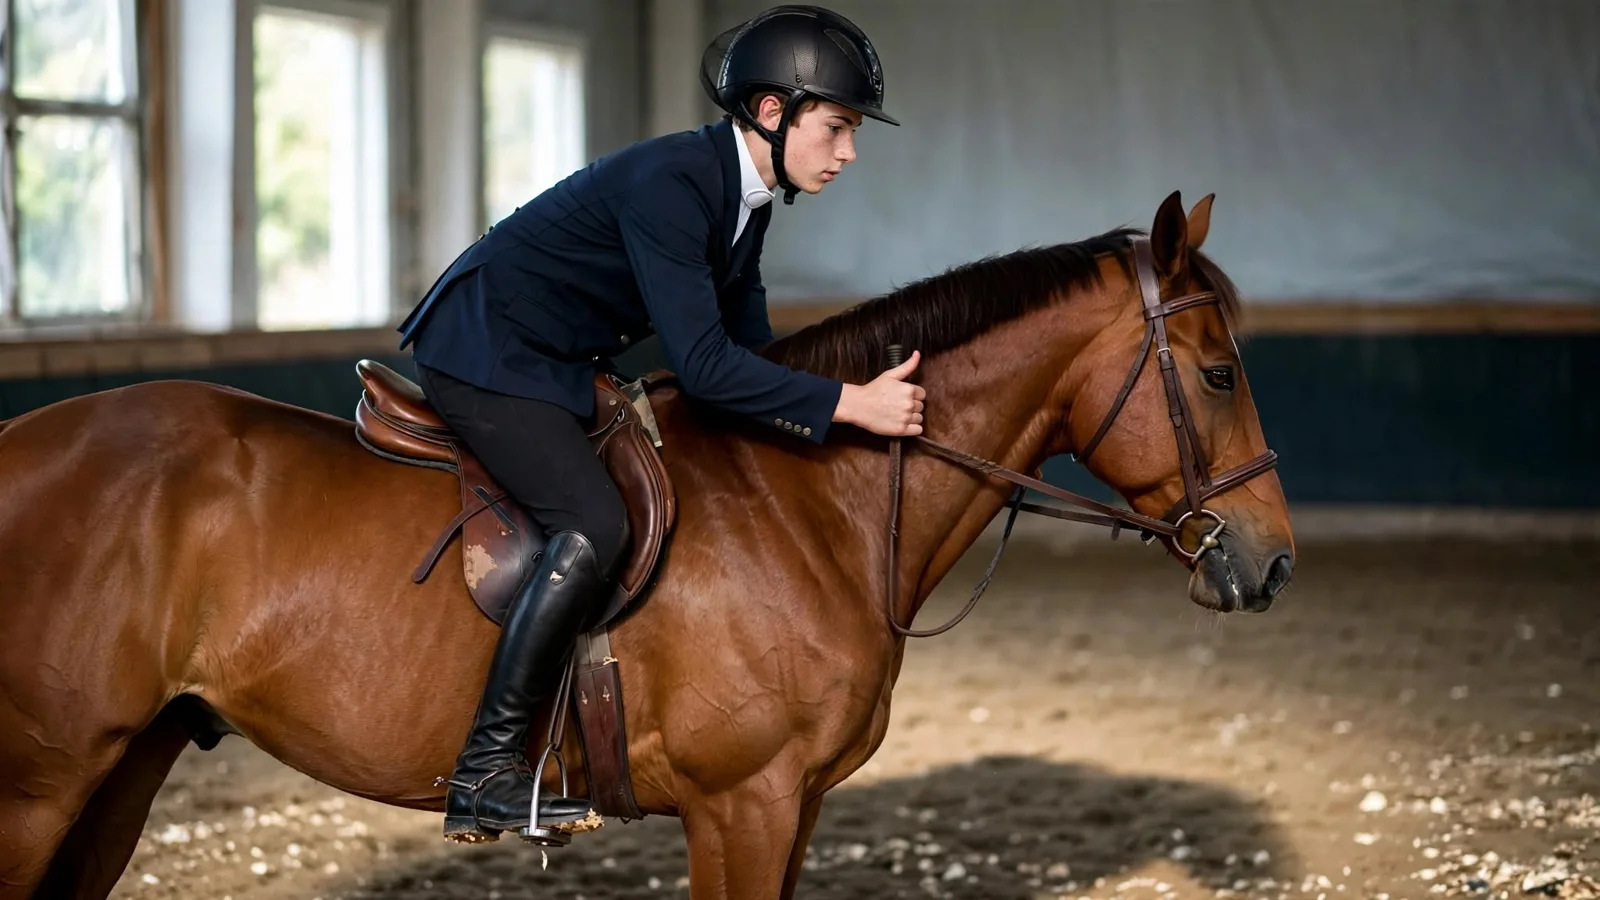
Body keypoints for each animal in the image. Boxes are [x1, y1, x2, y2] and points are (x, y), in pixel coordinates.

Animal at [0, 191, 1293, 899]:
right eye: (1218, 374)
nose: (1270, 561)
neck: (809, 501)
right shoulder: (743, 804)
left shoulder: (790, 807)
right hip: (43, 784)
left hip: (122, 770)